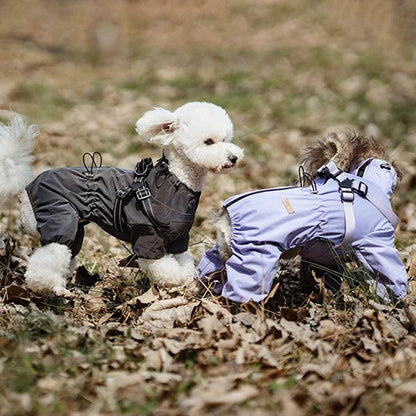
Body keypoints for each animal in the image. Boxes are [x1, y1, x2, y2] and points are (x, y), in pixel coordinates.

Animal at [0, 101, 244, 296]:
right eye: (209, 142)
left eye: (226, 139)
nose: (234, 157)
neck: (177, 181)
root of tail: (24, 187)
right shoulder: (148, 237)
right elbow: (164, 269)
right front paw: (178, 283)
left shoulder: (179, 238)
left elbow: (183, 263)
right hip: (59, 216)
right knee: (49, 256)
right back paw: (51, 287)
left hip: (75, 228)